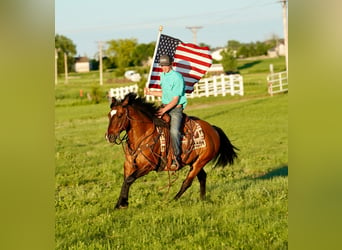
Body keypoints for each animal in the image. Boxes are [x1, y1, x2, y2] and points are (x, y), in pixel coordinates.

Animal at [105, 92, 238, 209]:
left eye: (120, 115)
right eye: (109, 115)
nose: (109, 137)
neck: (143, 136)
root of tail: (213, 129)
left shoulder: (148, 166)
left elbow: (129, 180)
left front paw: (122, 204)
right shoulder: (128, 165)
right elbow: (126, 181)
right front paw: (120, 204)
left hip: (200, 162)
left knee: (187, 182)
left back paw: (172, 200)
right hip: (194, 162)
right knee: (202, 177)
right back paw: (203, 199)